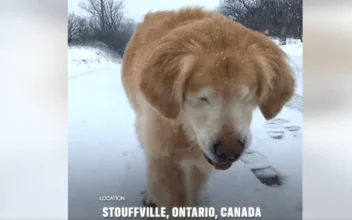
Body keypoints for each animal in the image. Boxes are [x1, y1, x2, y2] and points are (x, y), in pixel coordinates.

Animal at [121, 7, 294, 210]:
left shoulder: (200, 162)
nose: (230, 151)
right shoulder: (164, 155)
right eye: (202, 98)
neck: (184, 127)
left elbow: (195, 191)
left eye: (245, 96)